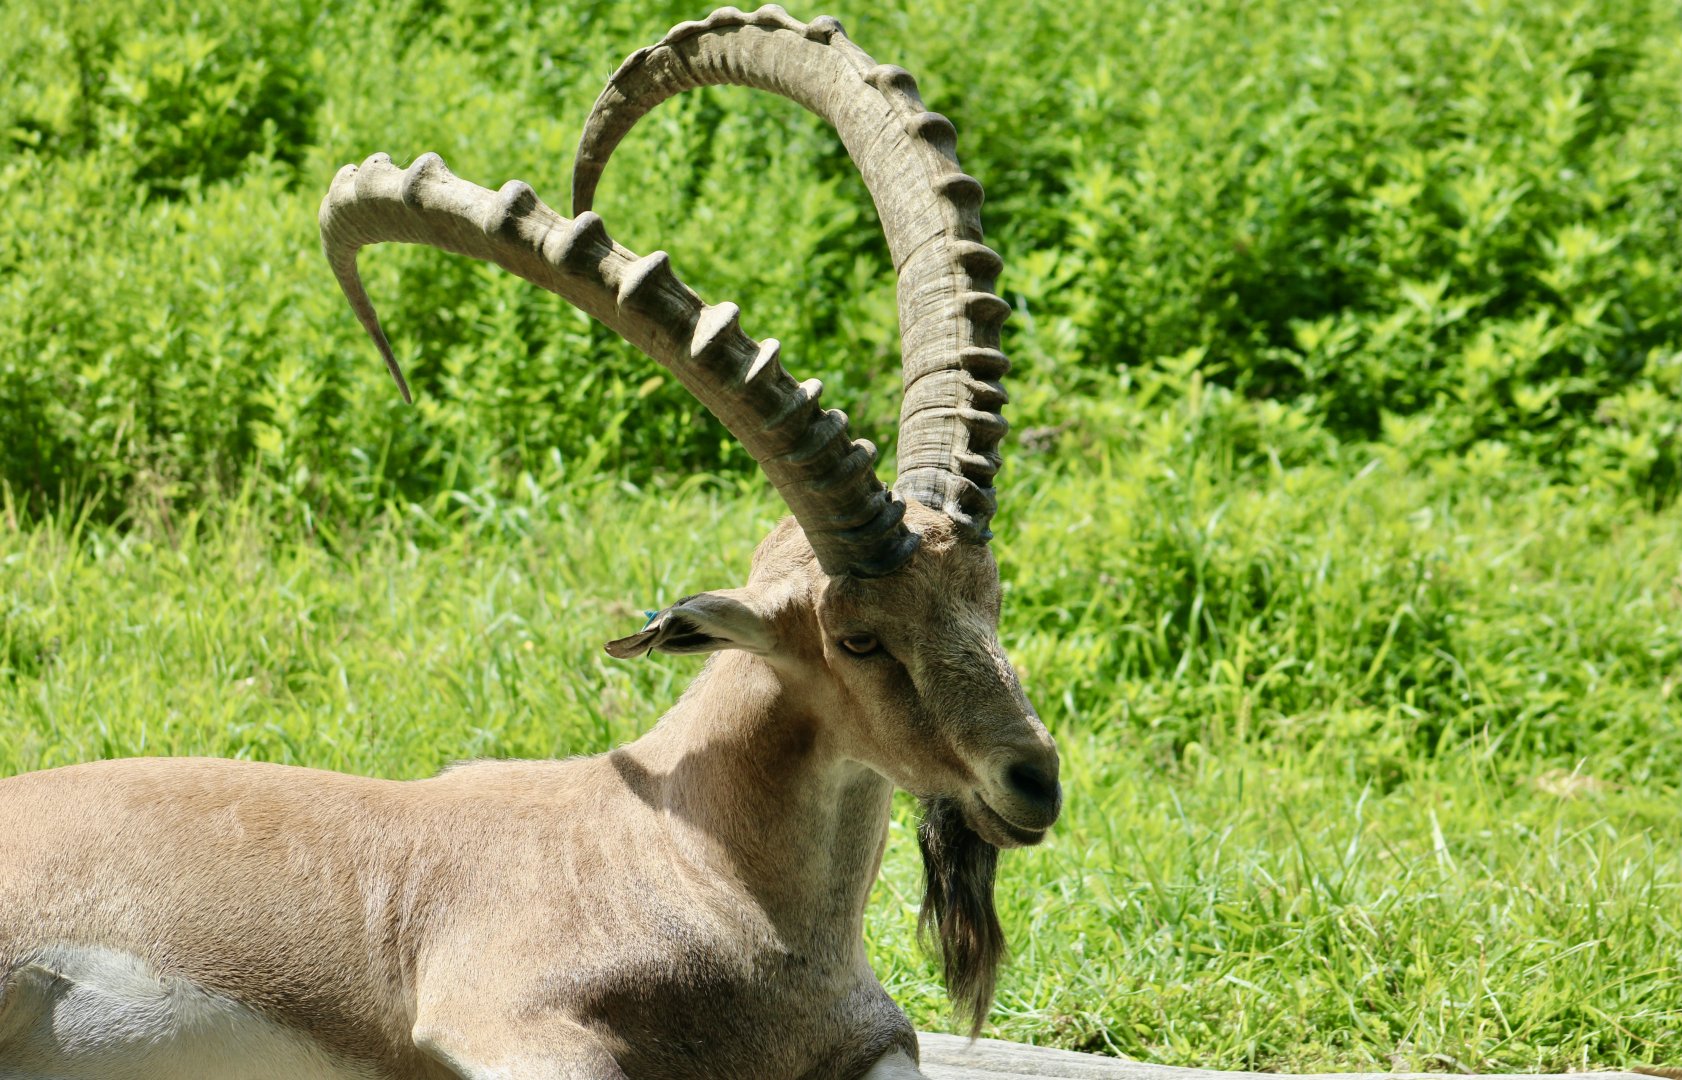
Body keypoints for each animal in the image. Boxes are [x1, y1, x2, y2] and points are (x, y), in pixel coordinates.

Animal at [0, 7, 1060, 1078]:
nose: (1035, 780)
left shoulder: (874, 1045)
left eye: (990, 594)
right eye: (858, 637)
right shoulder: (504, 1022)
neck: (690, 854)